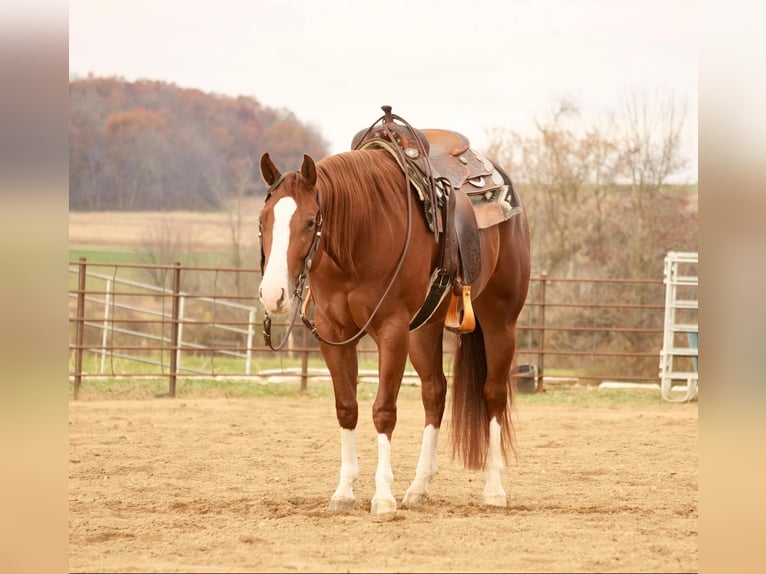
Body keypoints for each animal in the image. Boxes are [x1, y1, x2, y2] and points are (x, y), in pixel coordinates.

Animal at [260, 141, 532, 516]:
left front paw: (383, 496)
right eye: (263, 220)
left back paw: (493, 489)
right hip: (423, 331)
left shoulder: (391, 331)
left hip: (499, 321)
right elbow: (347, 408)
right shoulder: (334, 334)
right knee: (435, 392)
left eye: (310, 221)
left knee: (493, 394)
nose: (273, 294)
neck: (361, 234)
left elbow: (383, 411)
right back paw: (418, 487)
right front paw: (344, 492)